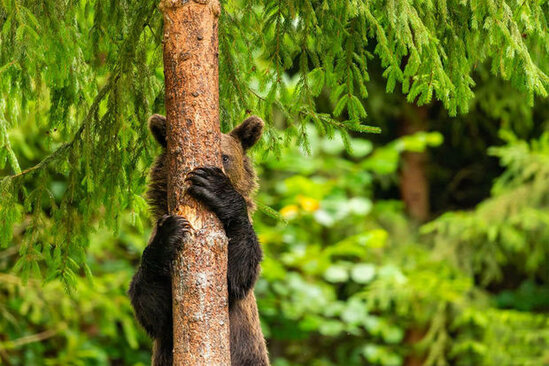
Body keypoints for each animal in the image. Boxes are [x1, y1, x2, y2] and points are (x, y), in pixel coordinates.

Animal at [127, 114, 268, 366]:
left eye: (225, 156)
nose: (214, 169)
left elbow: (237, 273)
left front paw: (216, 187)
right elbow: (151, 306)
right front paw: (169, 233)